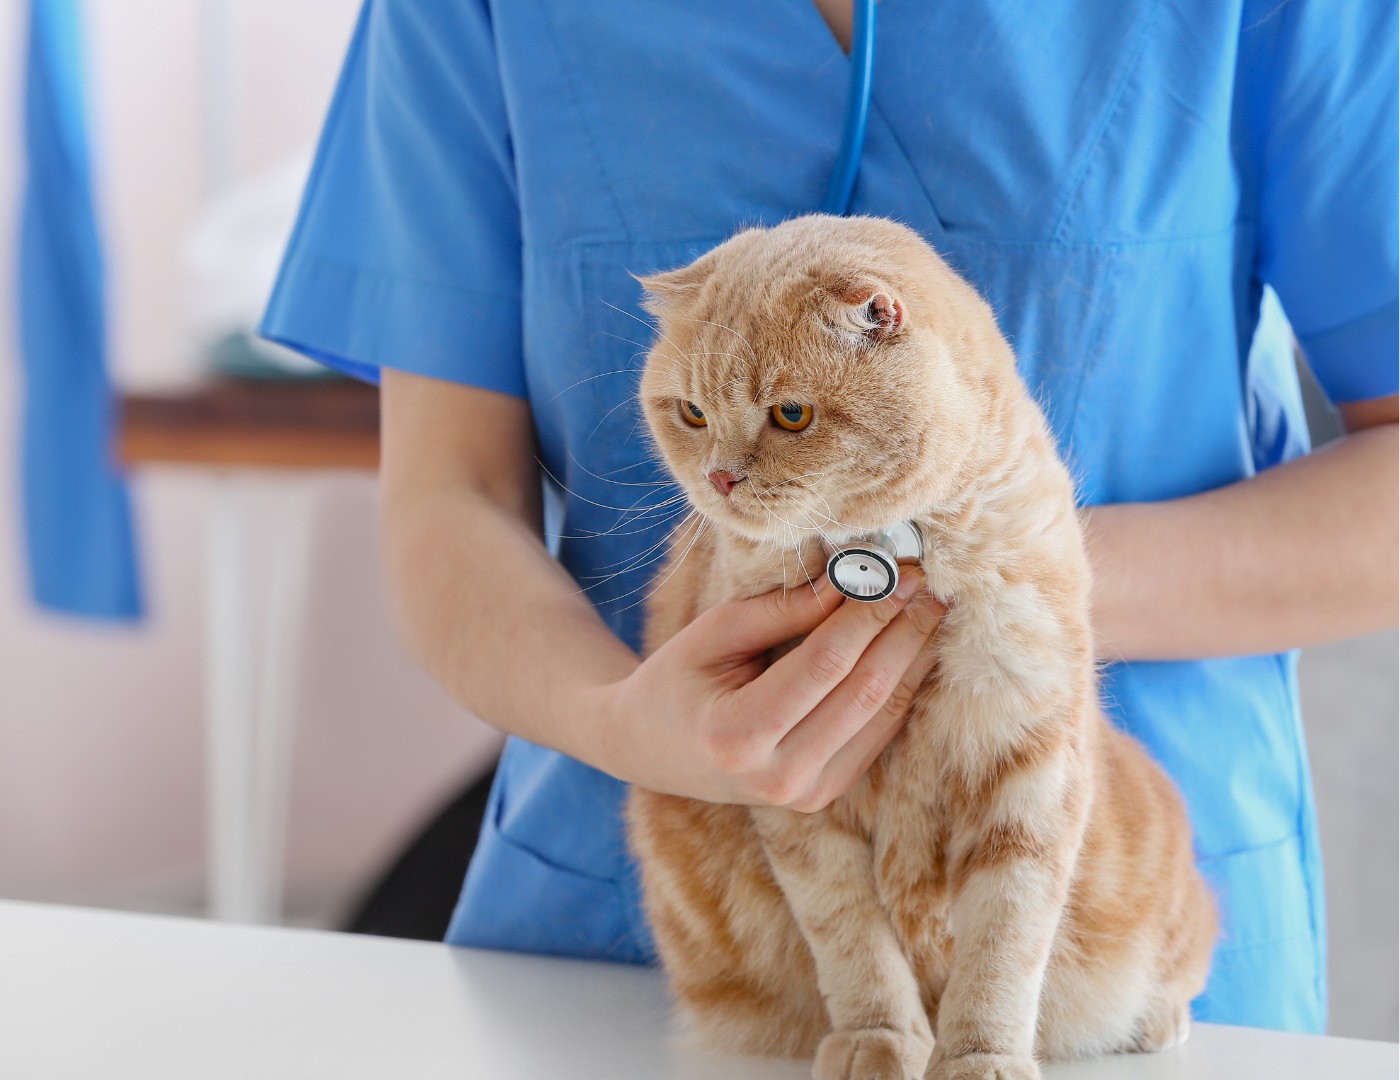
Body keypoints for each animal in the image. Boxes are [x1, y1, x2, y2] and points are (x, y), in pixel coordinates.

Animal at [624, 215, 1215, 1080]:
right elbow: (853, 942)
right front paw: (880, 1040)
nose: (721, 479)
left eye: (791, 414)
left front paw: (981, 1056)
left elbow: (1005, 943)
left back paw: (1155, 1020)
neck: (896, 550)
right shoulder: (801, 801)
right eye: (692, 414)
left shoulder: (1029, 763)